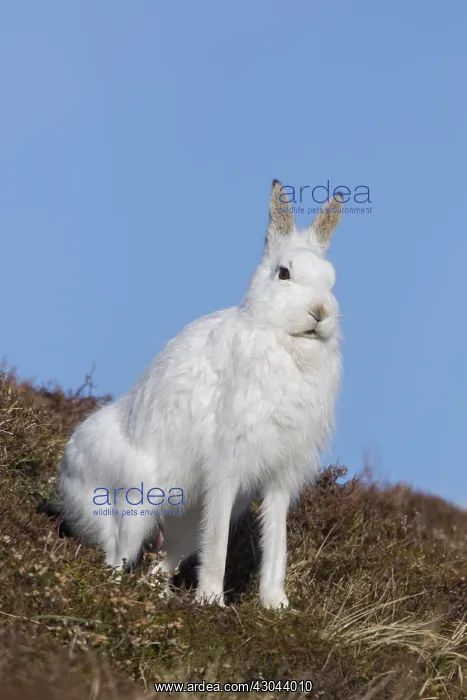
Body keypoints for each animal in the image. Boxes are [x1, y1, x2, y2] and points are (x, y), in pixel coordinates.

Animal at [59, 180, 344, 609]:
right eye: (284, 273)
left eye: (332, 281)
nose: (320, 312)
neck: (283, 339)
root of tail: (67, 472)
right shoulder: (227, 463)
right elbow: (219, 540)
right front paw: (212, 599)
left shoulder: (282, 473)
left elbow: (276, 539)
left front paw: (276, 605)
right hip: (133, 506)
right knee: (116, 559)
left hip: (183, 523)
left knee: (162, 563)